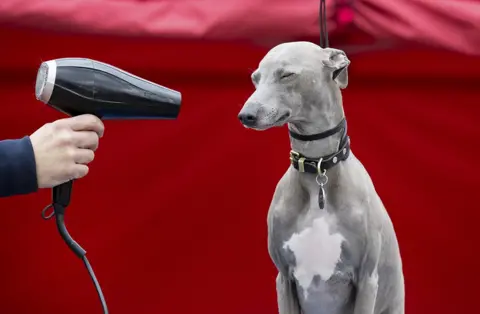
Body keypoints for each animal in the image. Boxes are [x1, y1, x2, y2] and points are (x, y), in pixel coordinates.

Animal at [238, 42, 404, 314]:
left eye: (287, 75)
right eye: (255, 78)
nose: (246, 116)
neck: (317, 169)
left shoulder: (367, 280)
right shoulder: (284, 279)